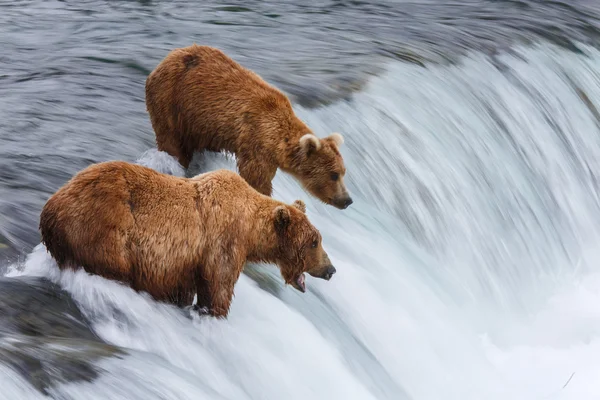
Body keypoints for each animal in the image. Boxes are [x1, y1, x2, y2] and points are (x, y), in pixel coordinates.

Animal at [39, 161, 336, 318]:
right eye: (314, 242)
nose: (331, 269)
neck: (250, 230)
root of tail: (50, 208)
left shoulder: (181, 266)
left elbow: (183, 290)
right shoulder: (222, 244)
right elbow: (218, 289)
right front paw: (213, 312)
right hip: (103, 233)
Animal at [145, 44, 352, 209]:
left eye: (343, 172)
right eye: (334, 175)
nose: (347, 200)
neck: (277, 140)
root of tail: (167, 58)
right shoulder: (256, 144)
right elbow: (256, 179)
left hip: (198, 124)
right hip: (172, 102)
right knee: (172, 142)